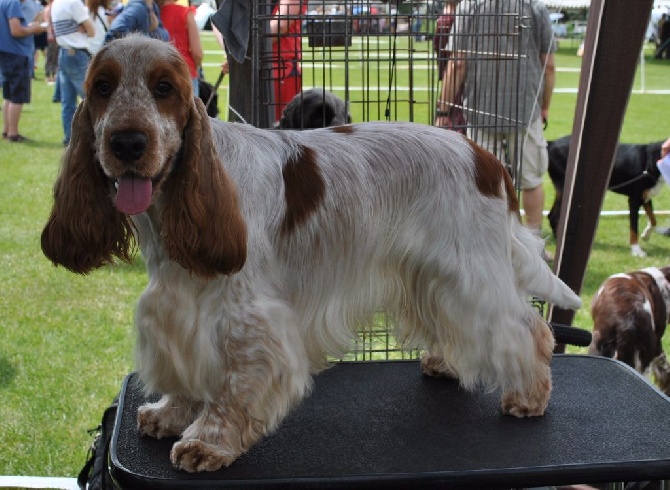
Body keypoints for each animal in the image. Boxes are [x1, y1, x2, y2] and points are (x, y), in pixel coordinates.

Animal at [40, 36, 584, 472]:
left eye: (163, 88)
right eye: (103, 86)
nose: (127, 142)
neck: (179, 195)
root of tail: (488, 159)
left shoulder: (246, 315)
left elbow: (233, 385)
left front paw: (208, 442)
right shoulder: (181, 304)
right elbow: (187, 370)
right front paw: (171, 413)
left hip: (471, 271)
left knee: (530, 330)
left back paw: (529, 396)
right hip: (433, 273)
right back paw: (447, 362)